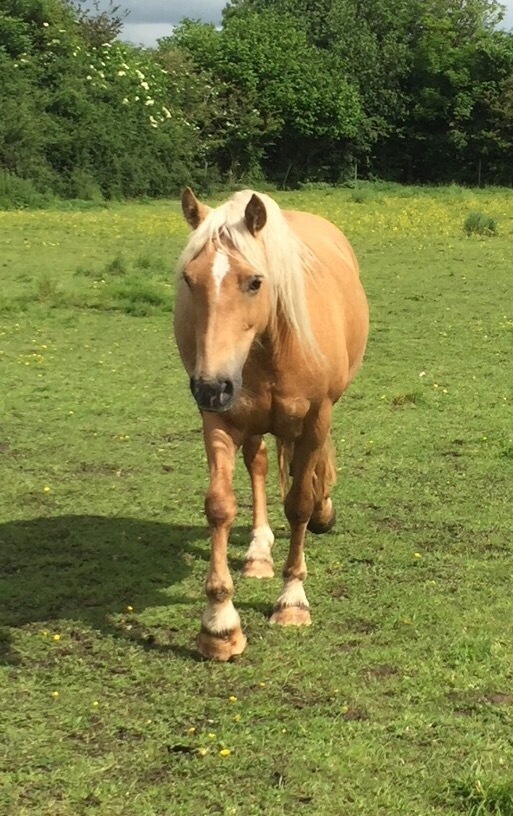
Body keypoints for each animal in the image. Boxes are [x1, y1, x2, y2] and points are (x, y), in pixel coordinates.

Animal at [174, 188, 369, 661]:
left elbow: (299, 502)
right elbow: (220, 506)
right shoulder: (220, 420)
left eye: (254, 282)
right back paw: (259, 552)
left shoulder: (316, 417)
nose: (211, 386)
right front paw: (219, 624)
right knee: (260, 464)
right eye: (189, 279)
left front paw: (292, 600)